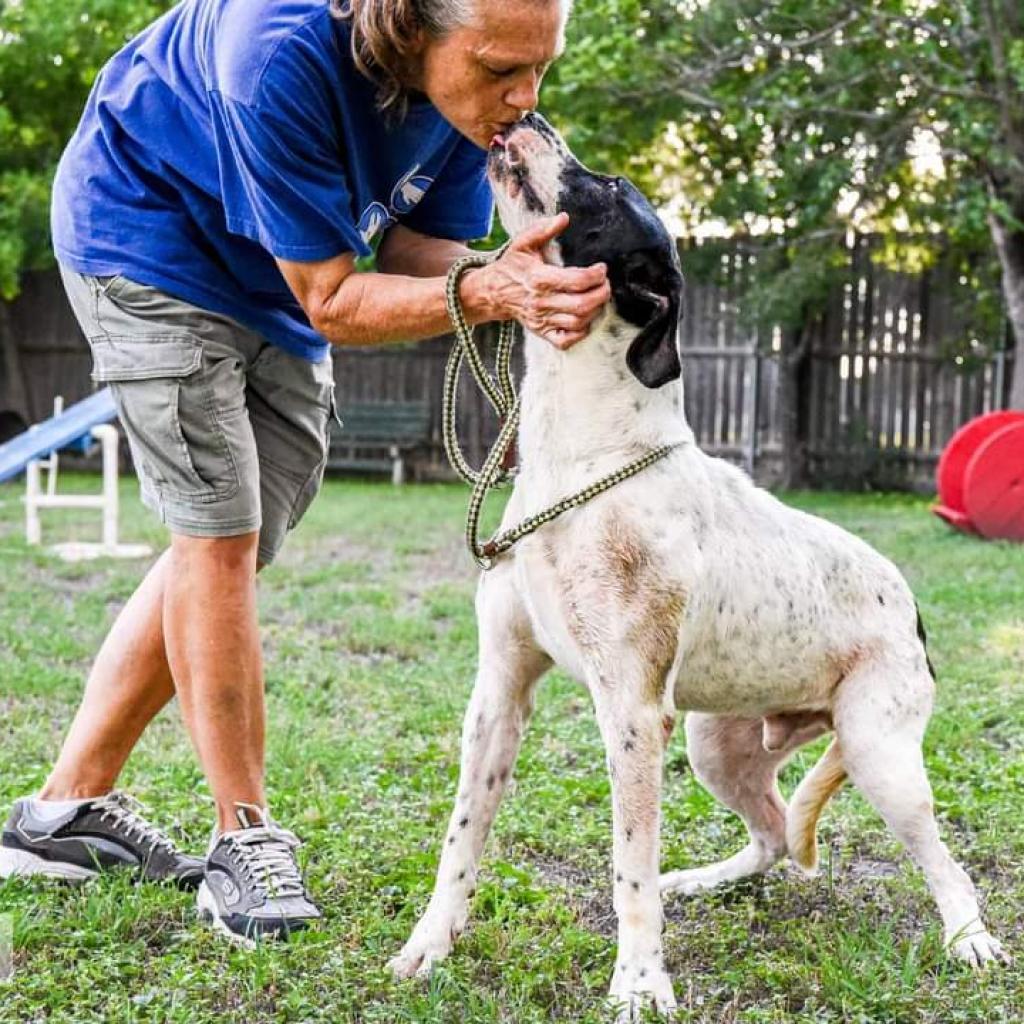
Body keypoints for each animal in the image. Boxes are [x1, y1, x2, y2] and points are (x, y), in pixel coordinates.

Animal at [387, 110, 1003, 1015]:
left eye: (608, 187)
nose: (529, 116)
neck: (579, 458)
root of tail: (913, 611)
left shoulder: (634, 714)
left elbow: (629, 868)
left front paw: (641, 984)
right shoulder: (497, 694)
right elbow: (462, 839)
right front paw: (429, 946)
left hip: (879, 754)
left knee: (942, 858)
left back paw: (970, 939)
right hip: (721, 746)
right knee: (776, 834)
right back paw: (710, 880)